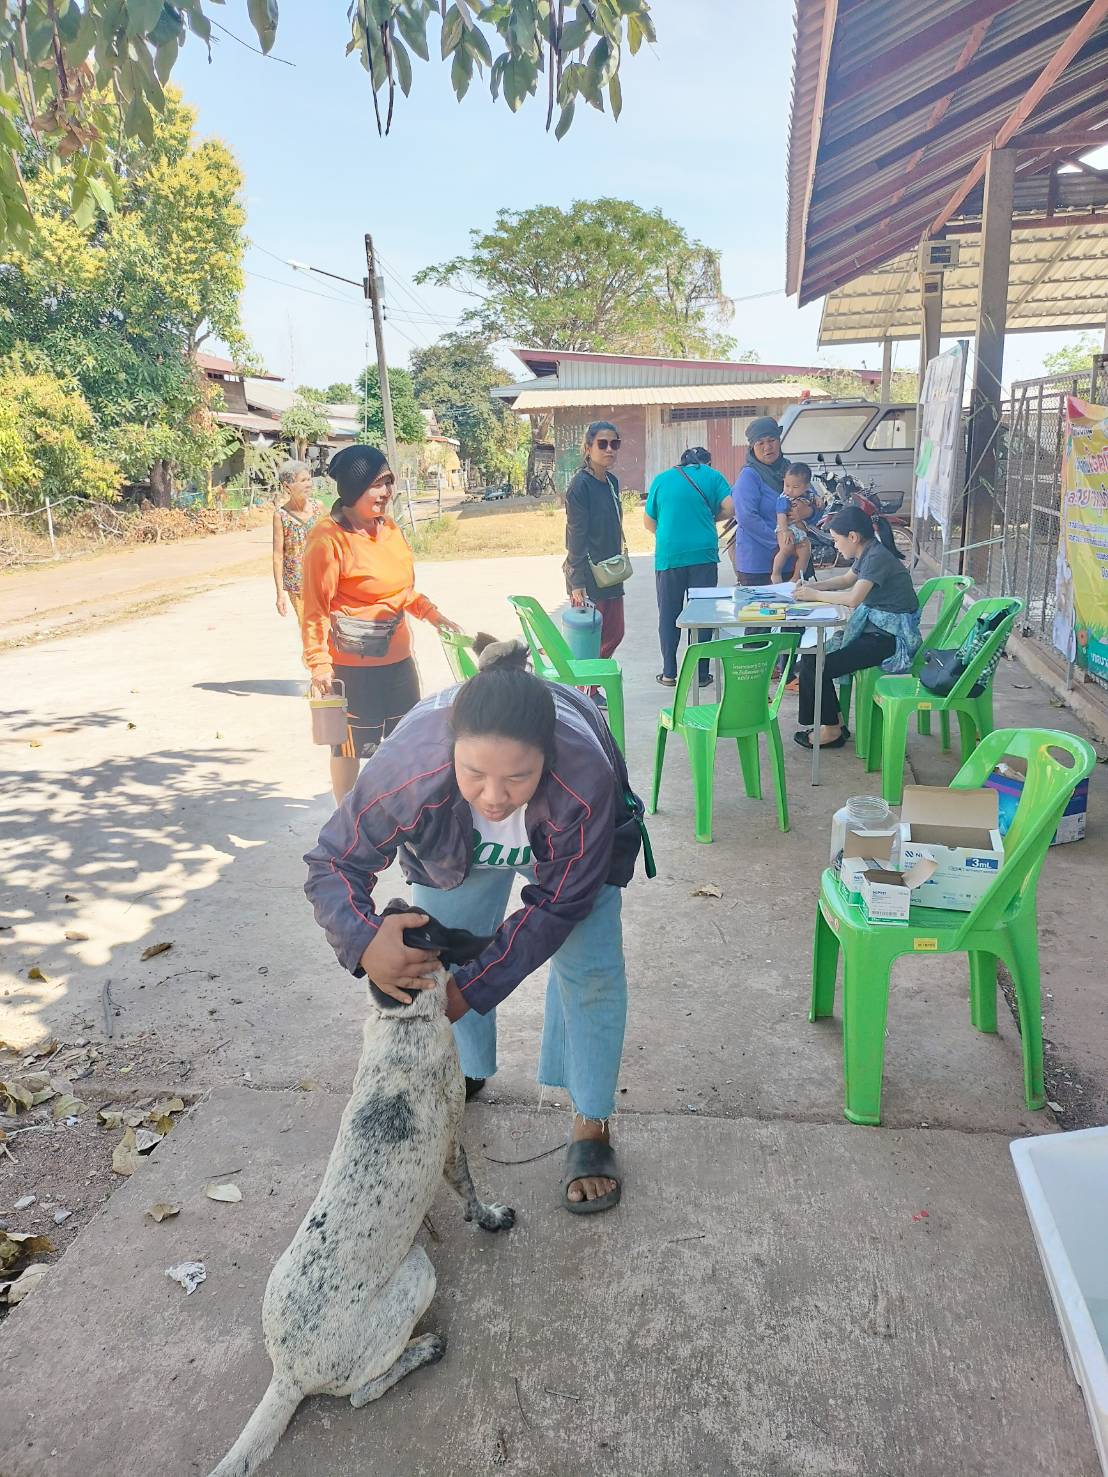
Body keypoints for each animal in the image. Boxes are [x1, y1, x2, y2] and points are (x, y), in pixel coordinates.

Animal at [206, 904, 515, 1477]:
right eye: (439, 928)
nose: (489, 935)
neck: (403, 1023)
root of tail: (288, 1374)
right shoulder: (452, 1144)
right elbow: (469, 1190)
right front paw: (487, 1216)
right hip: (418, 1273)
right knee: (360, 1394)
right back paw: (424, 1349)